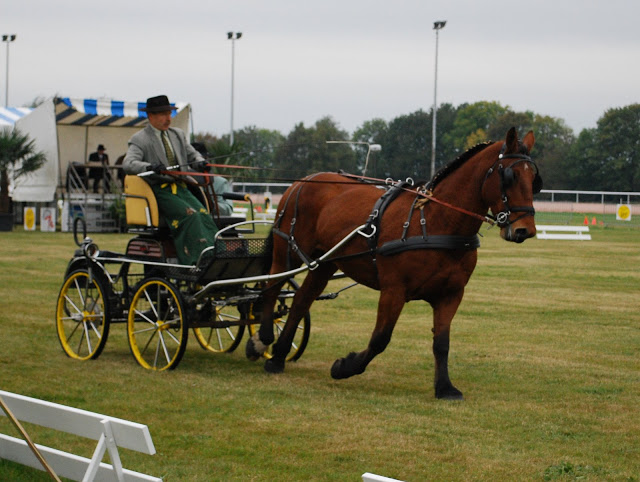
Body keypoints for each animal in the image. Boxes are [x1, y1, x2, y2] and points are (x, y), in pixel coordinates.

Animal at [245, 128, 540, 400]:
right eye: (510, 176)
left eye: (534, 179)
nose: (525, 230)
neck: (434, 221)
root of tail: (303, 181)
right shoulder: (394, 290)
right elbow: (380, 338)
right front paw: (344, 366)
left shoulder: (451, 294)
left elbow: (441, 343)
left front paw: (445, 387)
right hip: (289, 250)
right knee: (273, 287)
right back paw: (263, 341)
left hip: (326, 262)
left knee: (301, 300)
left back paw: (278, 357)